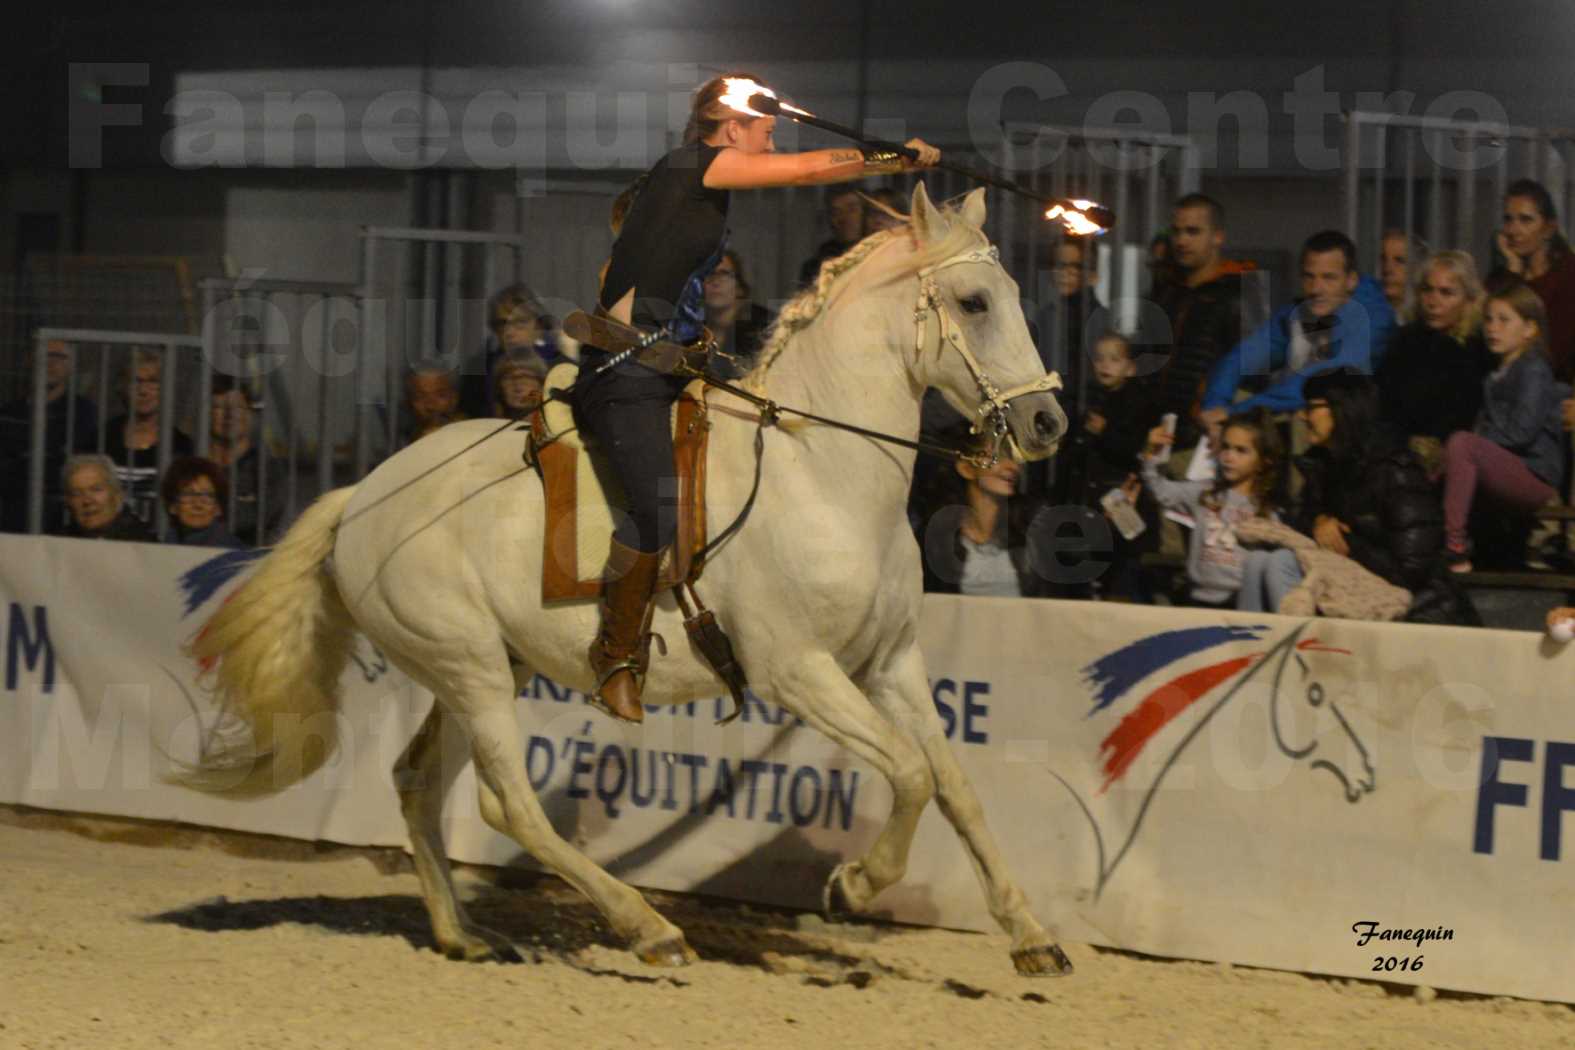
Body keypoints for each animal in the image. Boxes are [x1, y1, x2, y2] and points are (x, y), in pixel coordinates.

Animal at [184, 182, 1071, 976]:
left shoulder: (890, 664)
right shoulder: (798, 673)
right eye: (973, 301)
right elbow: (911, 773)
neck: (818, 469)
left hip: (484, 668)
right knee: (508, 802)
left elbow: (952, 784)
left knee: (416, 782)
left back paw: (464, 935)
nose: (1046, 423)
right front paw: (854, 884)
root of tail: (360, 497)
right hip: (471, 670)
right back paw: (647, 928)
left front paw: (1031, 938)